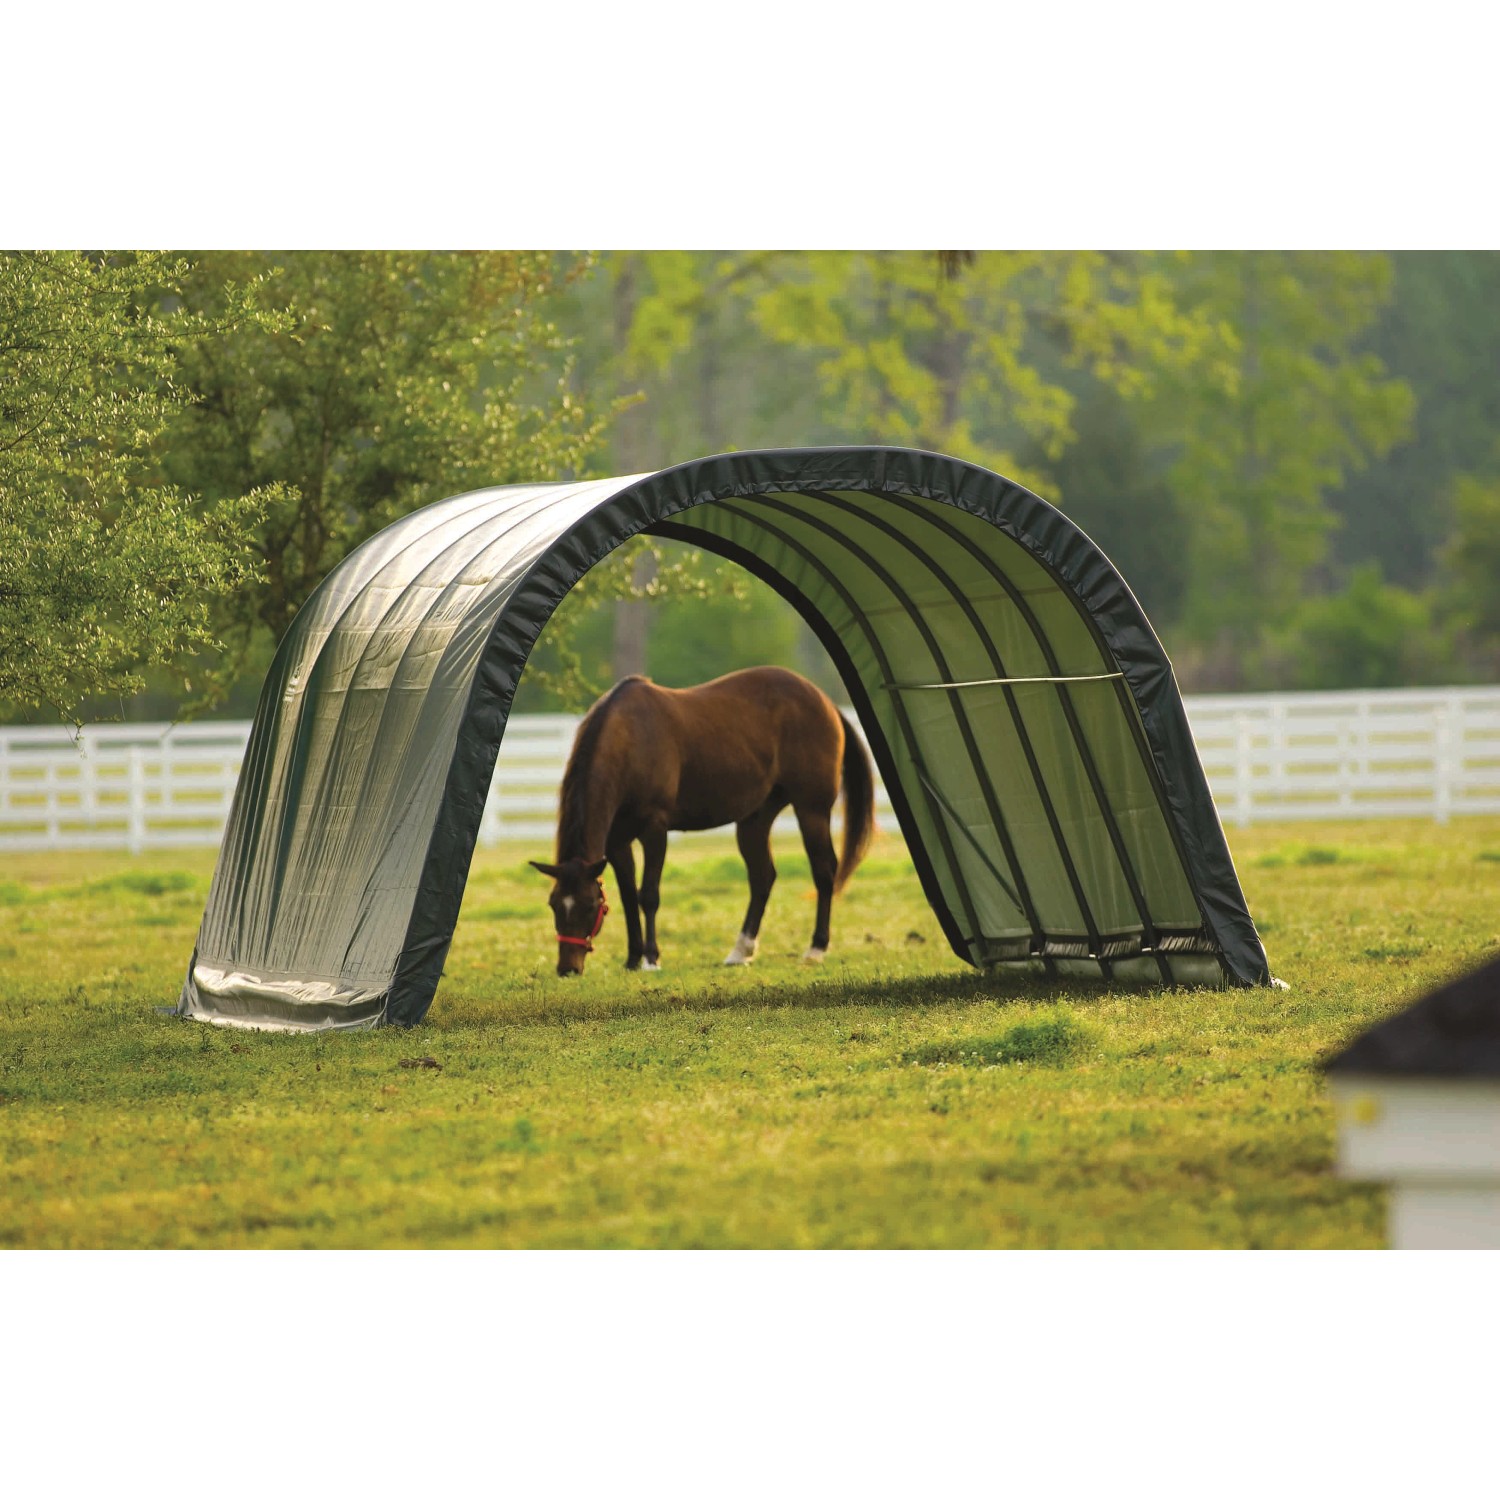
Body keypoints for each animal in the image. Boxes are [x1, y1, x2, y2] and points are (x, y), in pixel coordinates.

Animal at [530, 666, 875, 977]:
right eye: (554, 904)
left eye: (589, 905)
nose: (568, 968)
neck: (631, 739)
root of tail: (826, 702)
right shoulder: (616, 842)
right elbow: (628, 896)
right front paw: (632, 958)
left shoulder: (655, 830)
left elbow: (648, 894)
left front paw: (651, 958)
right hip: (755, 818)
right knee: (762, 877)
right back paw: (740, 952)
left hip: (811, 809)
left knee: (824, 871)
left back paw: (816, 949)